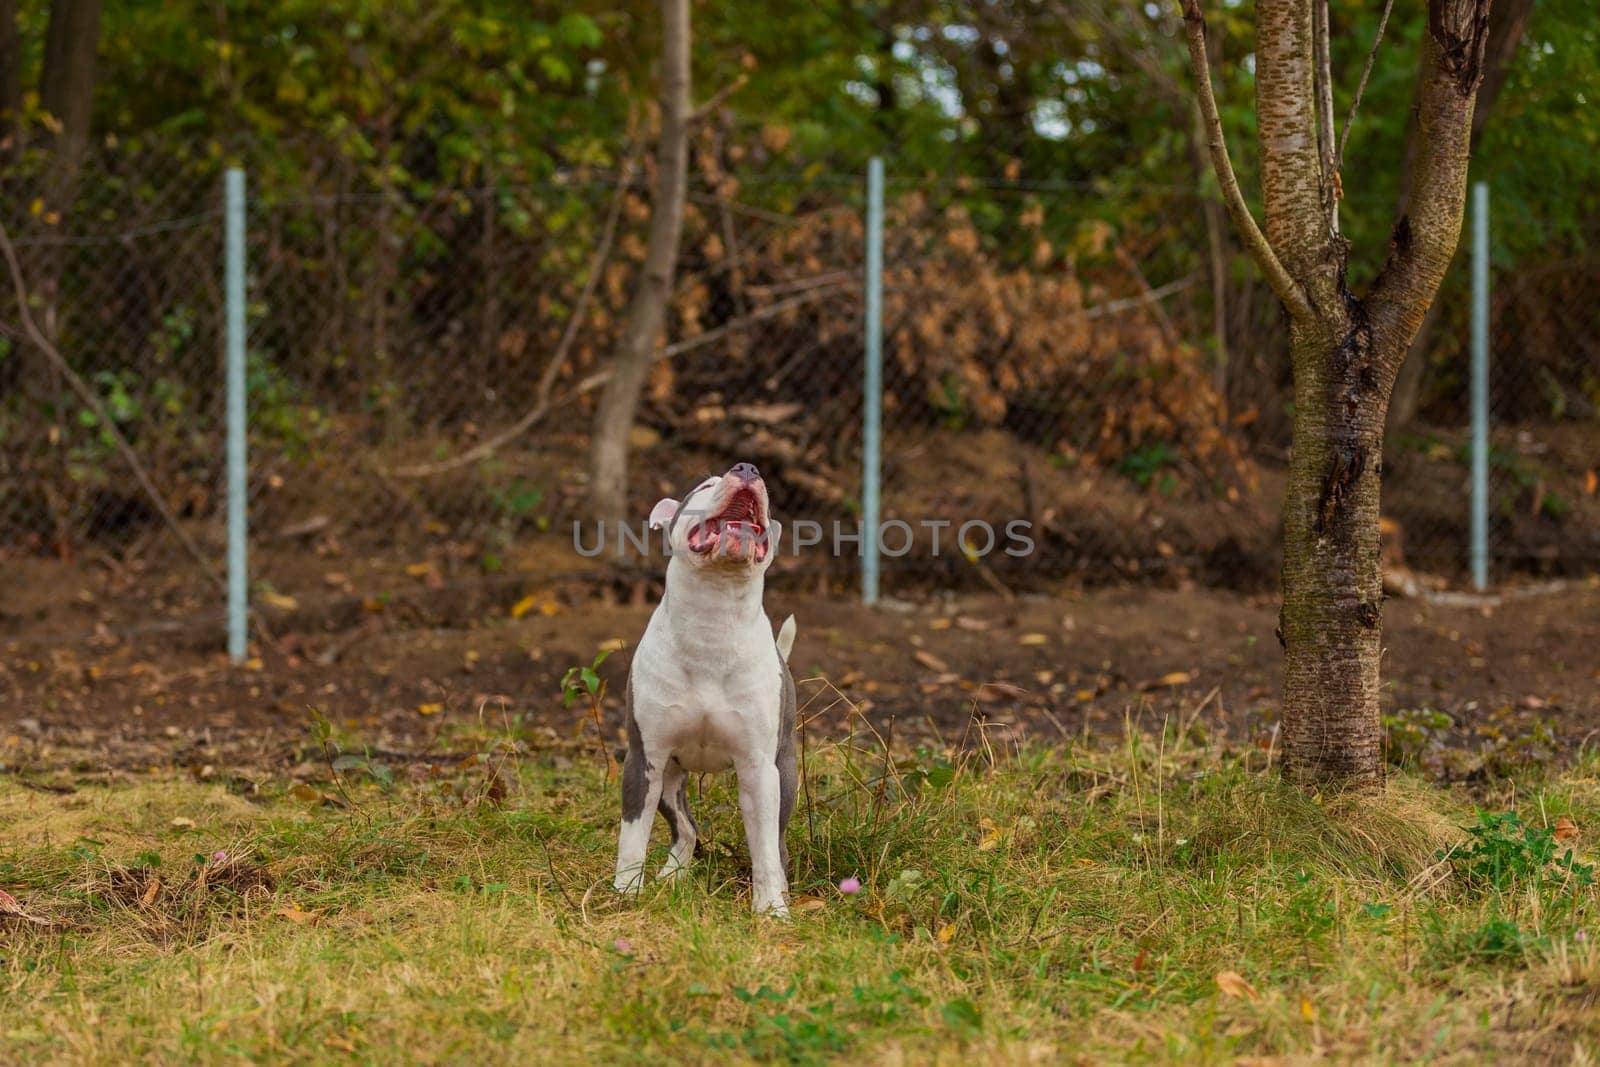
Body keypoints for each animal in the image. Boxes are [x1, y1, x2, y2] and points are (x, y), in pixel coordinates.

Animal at [617, 460, 806, 921]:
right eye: (705, 486)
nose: (748, 468)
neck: (713, 625)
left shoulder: (759, 769)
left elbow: (764, 851)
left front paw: (771, 909)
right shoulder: (644, 759)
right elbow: (632, 837)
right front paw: (624, 893)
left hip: (785, 776)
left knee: (776, 843)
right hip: (669, 778)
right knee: (686, 828)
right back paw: (672, 875)